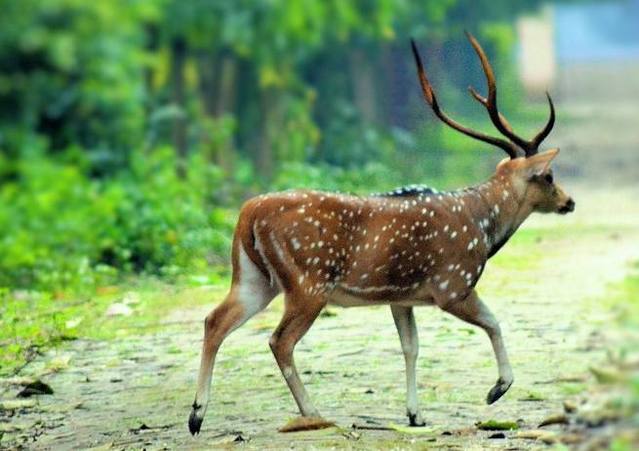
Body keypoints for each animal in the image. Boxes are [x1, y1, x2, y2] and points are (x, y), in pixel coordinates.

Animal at [188, 31, 576, 434]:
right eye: (548, 176)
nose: (569, 201)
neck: (483, 228)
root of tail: (247, 213)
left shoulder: (401, 296)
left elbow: (411, 346)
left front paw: (415, 414)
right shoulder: (452, 284)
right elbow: (493, 322)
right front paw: (497, 389)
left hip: (254, 278)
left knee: (214, 320)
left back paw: (197, 416)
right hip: (308, 281)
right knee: (279, 340)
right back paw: (312, 413)